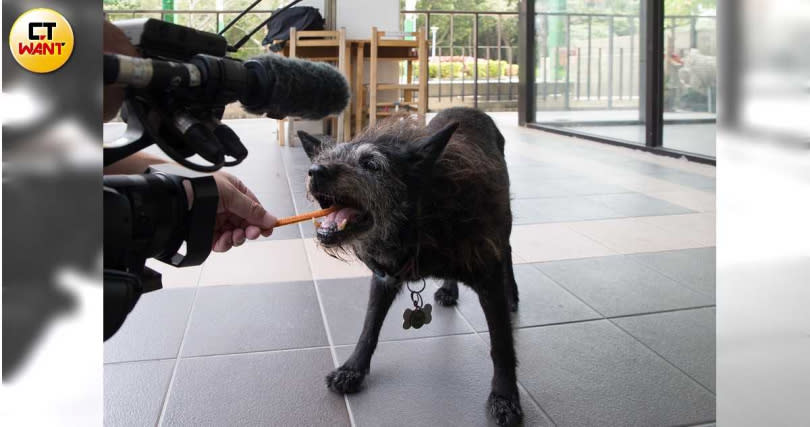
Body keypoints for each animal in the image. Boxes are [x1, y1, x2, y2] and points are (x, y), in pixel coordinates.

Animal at [300, 108, 520, 426]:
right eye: (325, 158)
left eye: (371, 164)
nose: (315, 171)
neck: (421, 219)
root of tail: (469, 109)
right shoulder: (384, 279)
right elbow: (369, 327)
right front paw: (353, 369)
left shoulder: (488, 279)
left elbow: (501, 345)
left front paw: (504, 396)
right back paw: (449, 289)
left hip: (503, 224)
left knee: (509, 251)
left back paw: (512, 292)